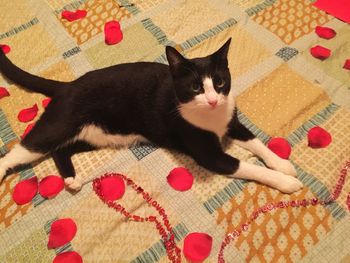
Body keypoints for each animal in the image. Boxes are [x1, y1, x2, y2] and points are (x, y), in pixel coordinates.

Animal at [0, 40, 302, 195]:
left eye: (219, 82)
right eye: (195, 87)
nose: (213, 100)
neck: (212, 118)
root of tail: (66, 86)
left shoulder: (232, 122)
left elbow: (256, 142)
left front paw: (283, 164)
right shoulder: (210, 155)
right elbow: (246, 166)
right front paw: (286, 182)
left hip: (96, 133)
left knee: (61, 150)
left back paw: (72, 179)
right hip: (60, 123)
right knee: (27, 148)